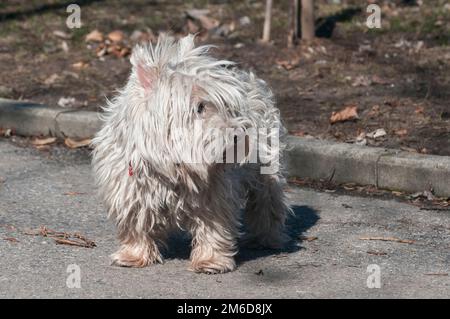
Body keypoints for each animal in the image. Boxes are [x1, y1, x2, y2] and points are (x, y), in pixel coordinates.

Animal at [91, 35, 292, 276]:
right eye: (200, 107)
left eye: (229, 107)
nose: (239, 135)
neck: (173, 167)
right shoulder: (130, 189)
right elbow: (135, 223)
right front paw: (133, 254)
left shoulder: (216, 193)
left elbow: (214, 226)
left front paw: (210, 260)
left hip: (267, 169)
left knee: (267, 202)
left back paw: (267, 238)